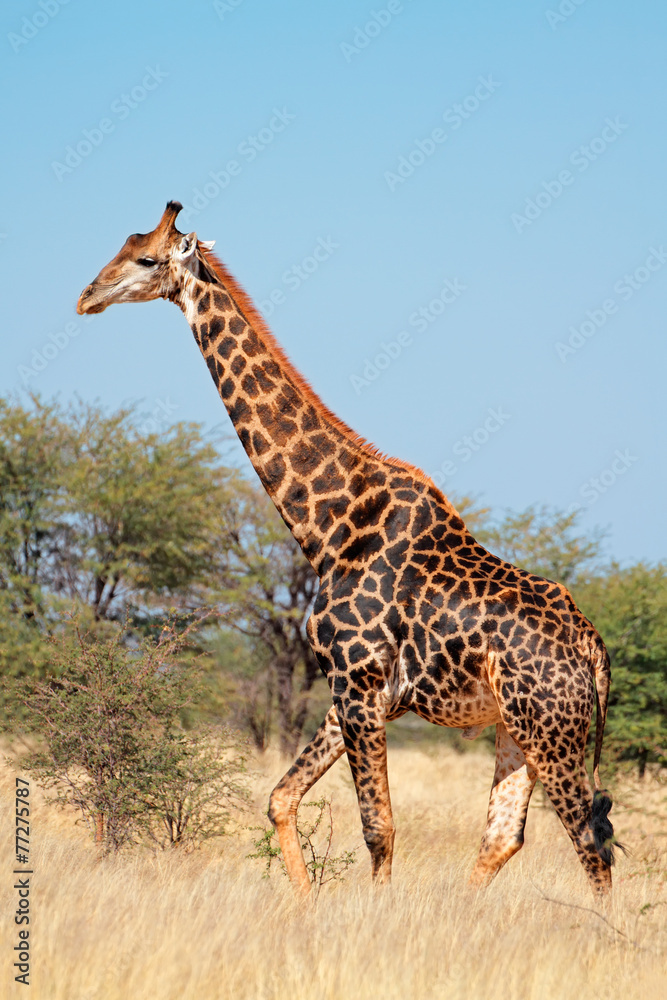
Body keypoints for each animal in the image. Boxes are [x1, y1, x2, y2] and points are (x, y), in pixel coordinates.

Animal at [77, 201, 618, 895]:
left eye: (145, 258)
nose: (87, 297)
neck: (325, 525)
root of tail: (595, 653)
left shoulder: (359, 683)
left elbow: (378, 830)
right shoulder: (347, 692)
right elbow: (280, 800)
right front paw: (304, 909)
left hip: (553, 732)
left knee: (591, 843)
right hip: (516, 728)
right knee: (503, 836)